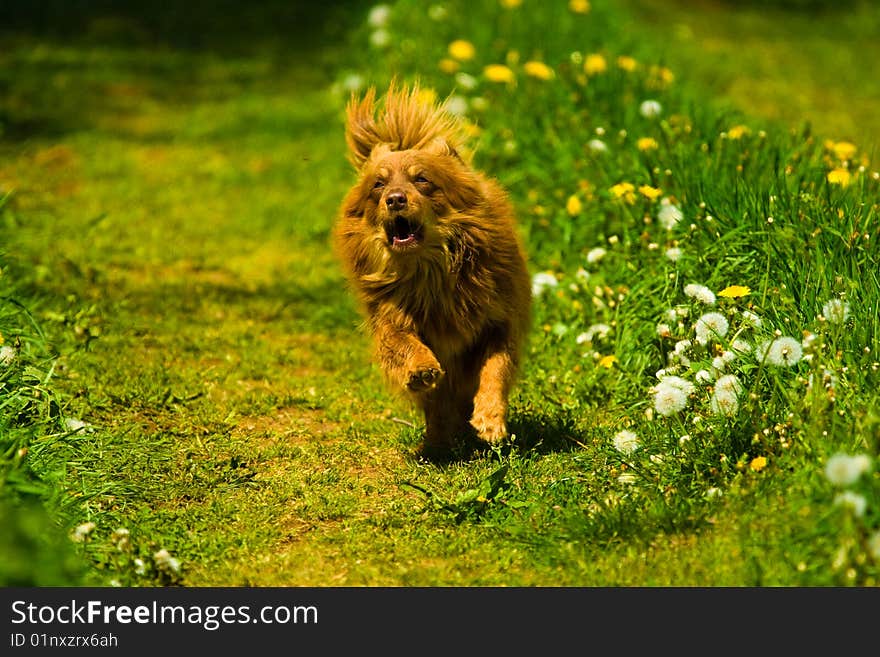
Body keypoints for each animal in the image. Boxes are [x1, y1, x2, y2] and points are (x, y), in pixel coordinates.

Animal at [334, 83, 532, 456]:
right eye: (378, 185)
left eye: (422, 180)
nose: (395, 198)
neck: (431, 272)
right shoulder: (391, 318)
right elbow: (406, 346)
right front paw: (421, 369)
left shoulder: (500, 321)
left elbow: (495, 370)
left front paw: (490, 420)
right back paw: (435, 446)